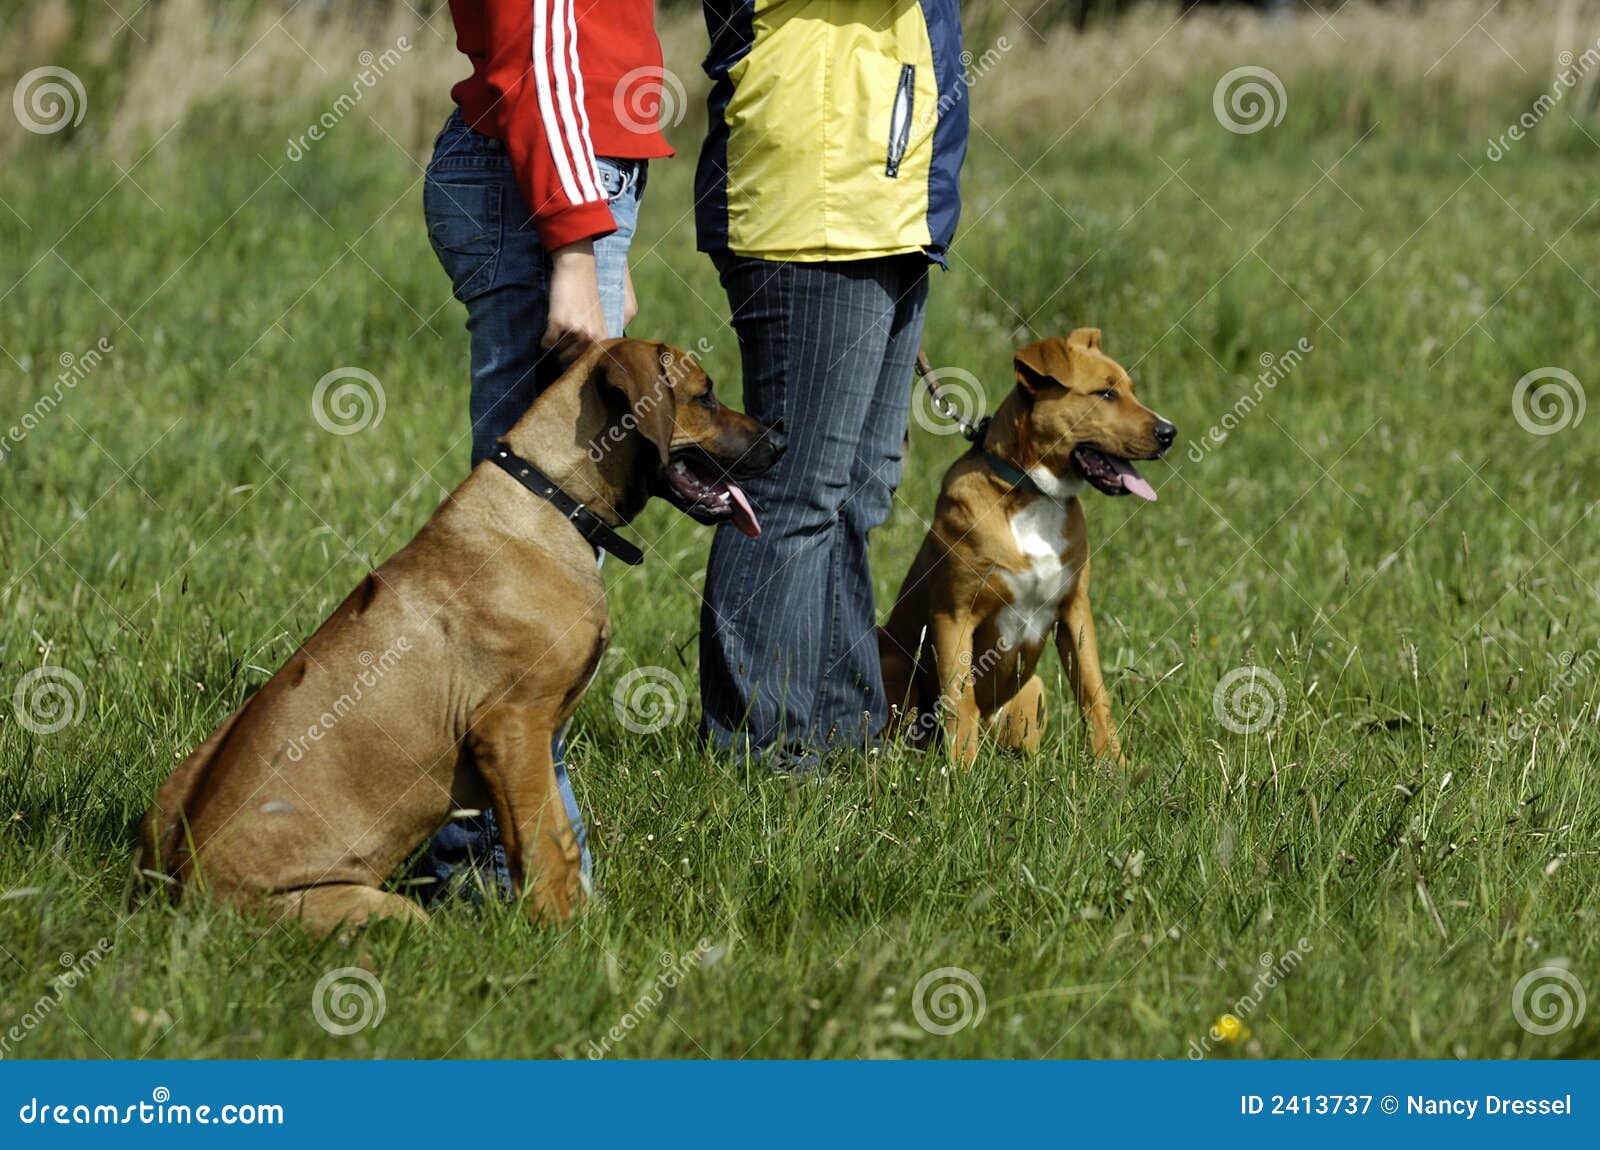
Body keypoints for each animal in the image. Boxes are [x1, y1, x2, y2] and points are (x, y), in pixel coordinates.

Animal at [137, 339, 787, 934]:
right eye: (705, 395)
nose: (780, 441)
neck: (550, 498)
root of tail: (176, 899)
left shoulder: (533, 740)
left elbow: (554, 838)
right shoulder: (512, 726)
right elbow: (544, 847)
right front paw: (561, 940)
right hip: (370, 908)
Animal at [876, 331, 1177, 764]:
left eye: (1131, 391)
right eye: (1105, 394)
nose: (1170, 433)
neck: (1033, 495)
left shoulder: (1074, 610)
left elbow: (1094, 695)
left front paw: (1114, 766)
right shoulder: (954, 614)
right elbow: (960, 699)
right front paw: (961, 772)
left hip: (1032, 691)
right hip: (890, 657)